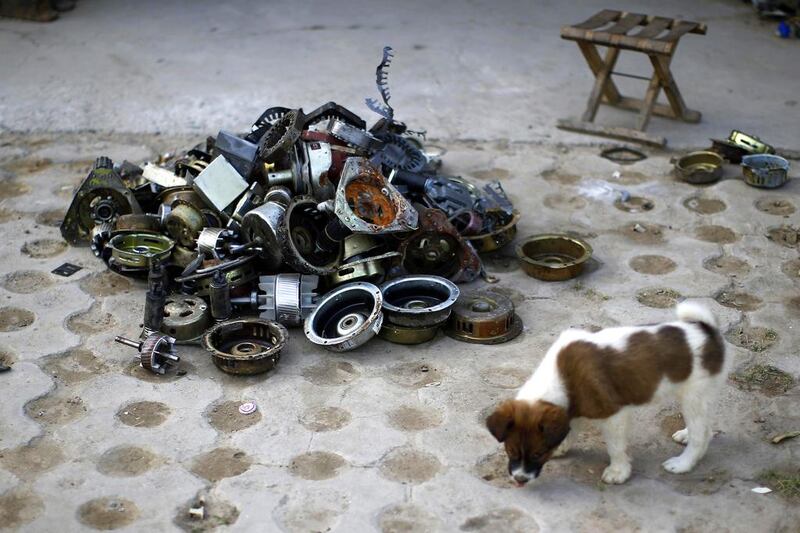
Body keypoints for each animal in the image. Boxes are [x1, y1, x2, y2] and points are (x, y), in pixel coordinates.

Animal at [488, 302, 724, 484]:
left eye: (538, 453)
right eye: (511, 451)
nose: (520, 479)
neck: (560, 376)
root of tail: (707, 330)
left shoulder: (613, 414)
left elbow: (615, 447)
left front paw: (618, 471)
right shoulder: (574, 405)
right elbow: (571, 427)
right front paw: (562, 445)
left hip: (694, 395)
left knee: (701, 434)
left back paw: (682, 463)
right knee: (705, 425)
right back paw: (685, 435)